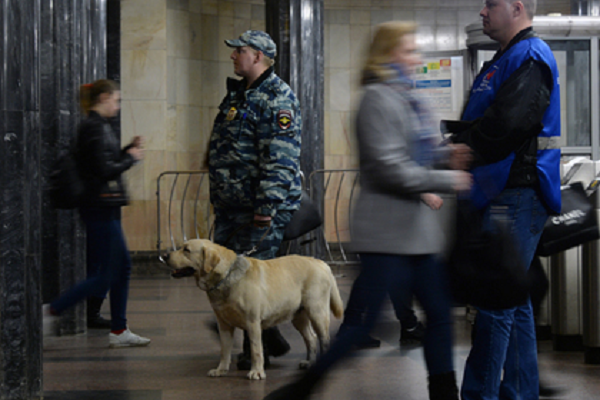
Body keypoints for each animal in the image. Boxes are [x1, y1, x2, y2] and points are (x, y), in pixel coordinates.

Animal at [165, 239, 342, 380]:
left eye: (186, 250)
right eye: (182, 247)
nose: (165, 256)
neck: (226, 277)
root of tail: (320, 262)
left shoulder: (252, 322)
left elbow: (256, 350)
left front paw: (257, 372)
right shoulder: (224, 324)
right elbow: (224, 349)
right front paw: (221, 369)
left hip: (317, 312)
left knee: (324, 339)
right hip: (299, 316)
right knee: (311, 338)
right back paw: (310, 362)